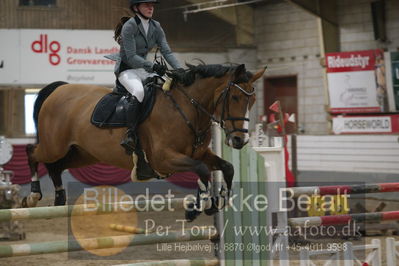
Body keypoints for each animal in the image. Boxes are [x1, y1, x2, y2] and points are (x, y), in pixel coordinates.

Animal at [25, 63, 268, 221]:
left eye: (253, 100)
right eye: (235, 97)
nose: (239, 140)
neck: (187, 109)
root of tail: (59, 88)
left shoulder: (199, 154)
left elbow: (226, 167)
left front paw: (218, 201)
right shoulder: (164, 159)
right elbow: (201, 170)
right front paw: (198, 207)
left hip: (82, 154)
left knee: (56, 167)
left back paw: (59, 197)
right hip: (54, 146)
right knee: (32, 152)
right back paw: (34, 195)